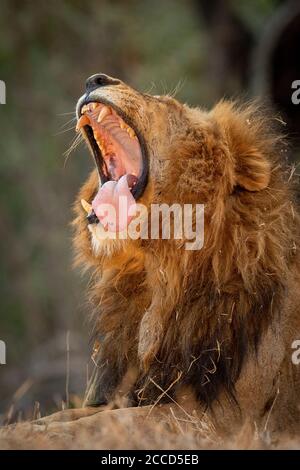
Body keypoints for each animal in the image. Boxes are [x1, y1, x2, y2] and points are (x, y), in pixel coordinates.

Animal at [32, 73, 300, 440]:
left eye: (165, 103)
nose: (95, 79)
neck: (159, 275)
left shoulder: (228, 418)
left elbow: (103, 423)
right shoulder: (140, 388)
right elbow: (68, 416)